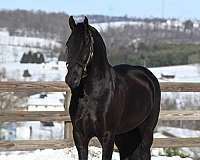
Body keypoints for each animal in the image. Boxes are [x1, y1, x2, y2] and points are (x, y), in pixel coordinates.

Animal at [65, 16, 161, 160]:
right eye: (68, 45)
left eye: (86, 44)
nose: (71, 79)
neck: (92, 94)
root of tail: (148, 76)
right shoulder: (80, 136)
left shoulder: (107, 136)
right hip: (125, 134)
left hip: (146, 131)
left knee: (145, 152)